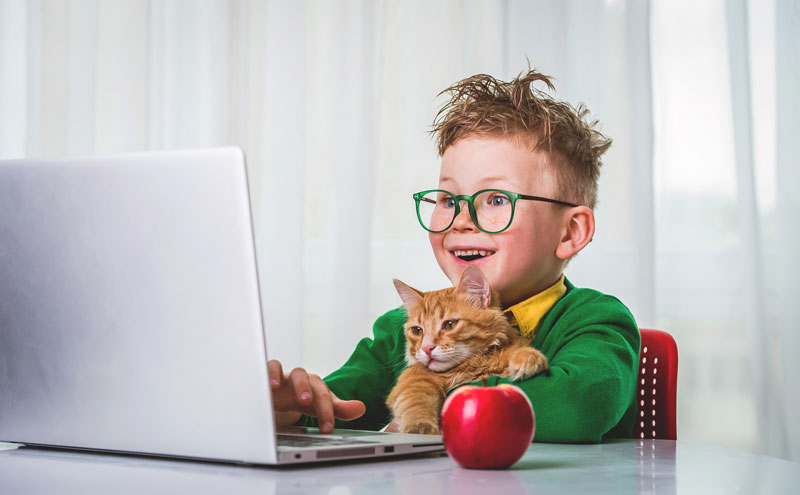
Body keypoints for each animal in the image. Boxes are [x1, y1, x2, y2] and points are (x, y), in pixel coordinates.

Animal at [384, 264, 548, 434]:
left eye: (449, 325)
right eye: (417, 330)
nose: (427, 348)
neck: (474, 364)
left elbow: (518, 349)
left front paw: (528, 358)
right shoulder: (414, 381)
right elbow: (416, 405)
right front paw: (420, 429)